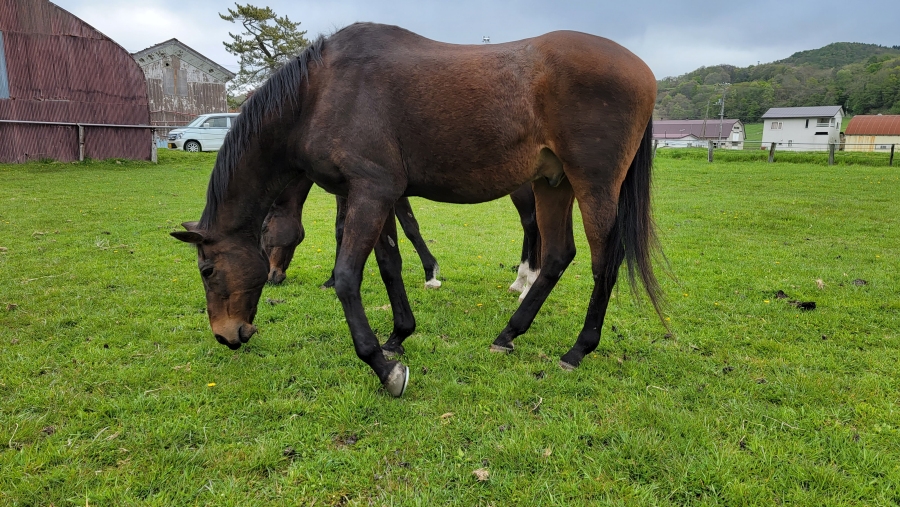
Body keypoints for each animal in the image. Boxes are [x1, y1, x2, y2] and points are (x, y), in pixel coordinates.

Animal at [171, 22, 660, 396]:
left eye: (207, 270)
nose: (226, 335)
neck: (320, 93)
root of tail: (645, 71)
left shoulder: (371, 192)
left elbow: (348, 276)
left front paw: (382, 365)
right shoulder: (377, 195)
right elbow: (390, 263)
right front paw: (399, 335)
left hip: (593, 186)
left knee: (604, 261)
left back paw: (577, 349)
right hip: (551, 183)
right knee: (558, 255)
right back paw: (508, 334)